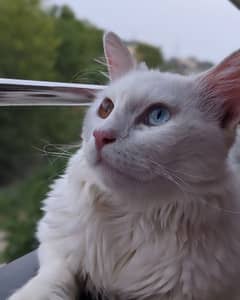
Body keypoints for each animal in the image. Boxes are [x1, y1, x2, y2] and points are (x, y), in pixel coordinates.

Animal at [9, 32, 240, 300]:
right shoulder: (56, 246)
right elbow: (52, 279)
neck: (126, 215)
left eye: (158, 116)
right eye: (106, 108)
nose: (101, 135)